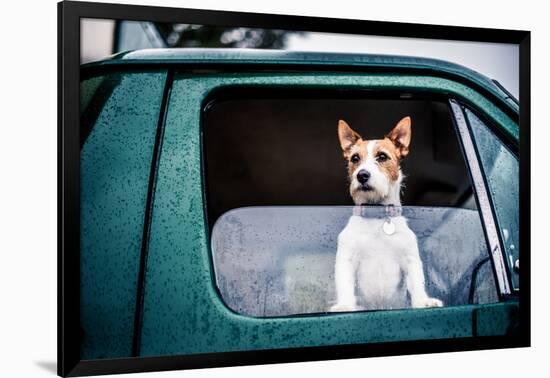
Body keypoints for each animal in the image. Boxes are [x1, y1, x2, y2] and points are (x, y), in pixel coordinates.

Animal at [332, 116, 444, 312]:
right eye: (355, 158)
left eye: (382, 156)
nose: (362, 175)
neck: (377, 217)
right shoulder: (346, 259)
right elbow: (345, 284)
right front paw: (345, 305)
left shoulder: (410, 259)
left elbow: (417, 283)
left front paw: (423, 301)